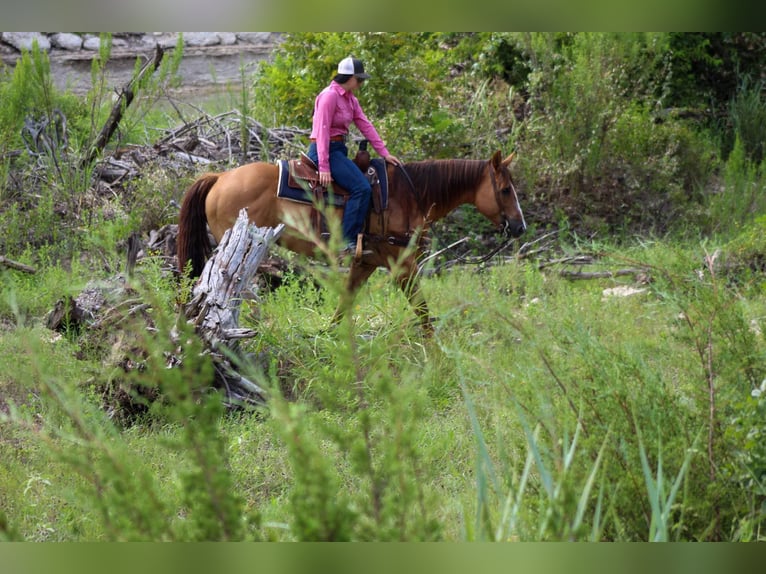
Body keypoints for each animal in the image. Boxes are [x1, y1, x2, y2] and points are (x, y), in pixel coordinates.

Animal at [178, 150, 528, 332]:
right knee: (234, 291)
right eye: (505, 190)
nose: (520, 226)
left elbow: (345, 303)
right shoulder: (402, 265)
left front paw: (326, 337)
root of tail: (219, 178)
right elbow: (422, 310)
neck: (409, 194)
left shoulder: (367, 261)